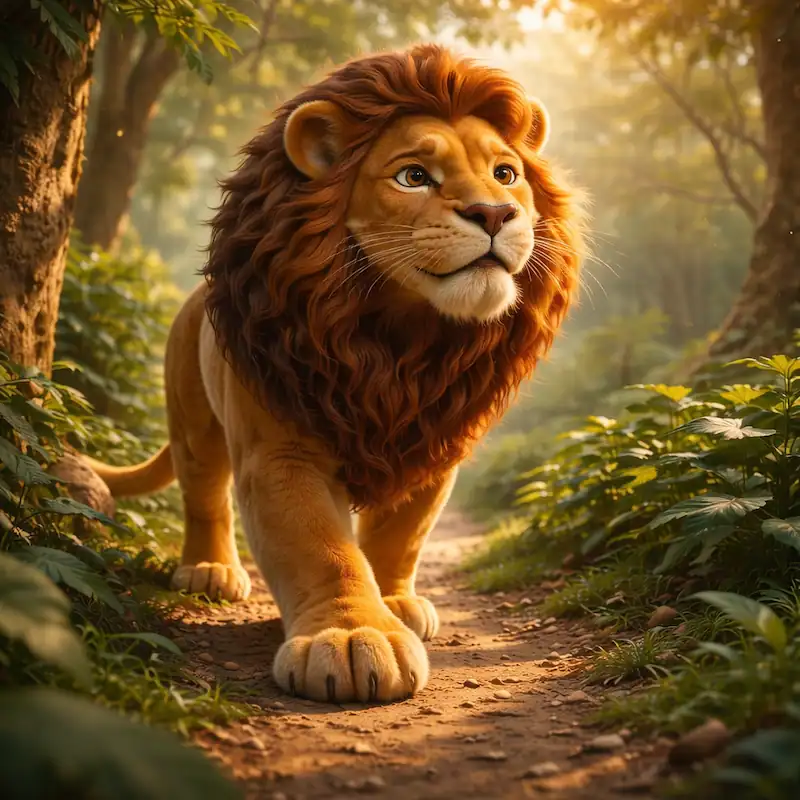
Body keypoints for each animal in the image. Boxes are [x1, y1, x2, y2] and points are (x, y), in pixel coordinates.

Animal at [82, 45, 583, 704]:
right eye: (413, 176)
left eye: (505, 174)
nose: (496, 214)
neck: (403, 335)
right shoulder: (281, 451)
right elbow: (321, 548)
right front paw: (350, 637)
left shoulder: (432, 442)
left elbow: (400, 535)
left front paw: (395, 603)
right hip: (193, 418)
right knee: (205, 494)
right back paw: (209, 570)